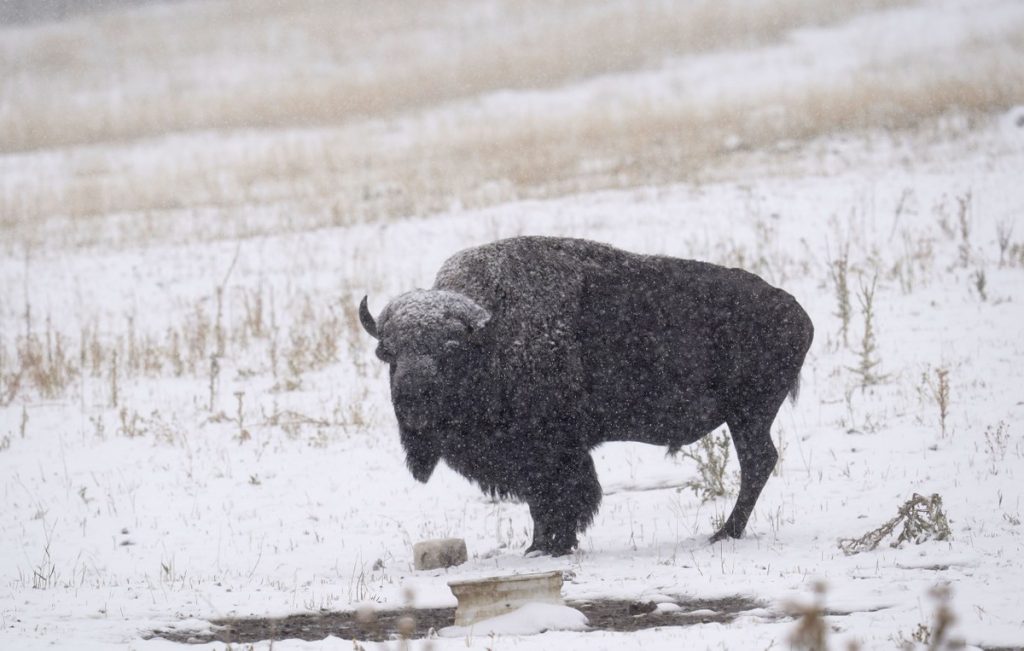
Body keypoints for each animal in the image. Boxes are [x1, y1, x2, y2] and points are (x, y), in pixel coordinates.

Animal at [362, 236, 815, 556]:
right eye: (388, 353)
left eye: (450, 349)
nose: (412, 399)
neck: (491, 339)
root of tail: (797, 312)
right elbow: (543, 502)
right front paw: (540, 546)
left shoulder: (552, 453)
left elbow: (558, 497)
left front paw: (550, 546)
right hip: (747, 417)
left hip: (748, 415)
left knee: (757, 462)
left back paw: (723, 533)